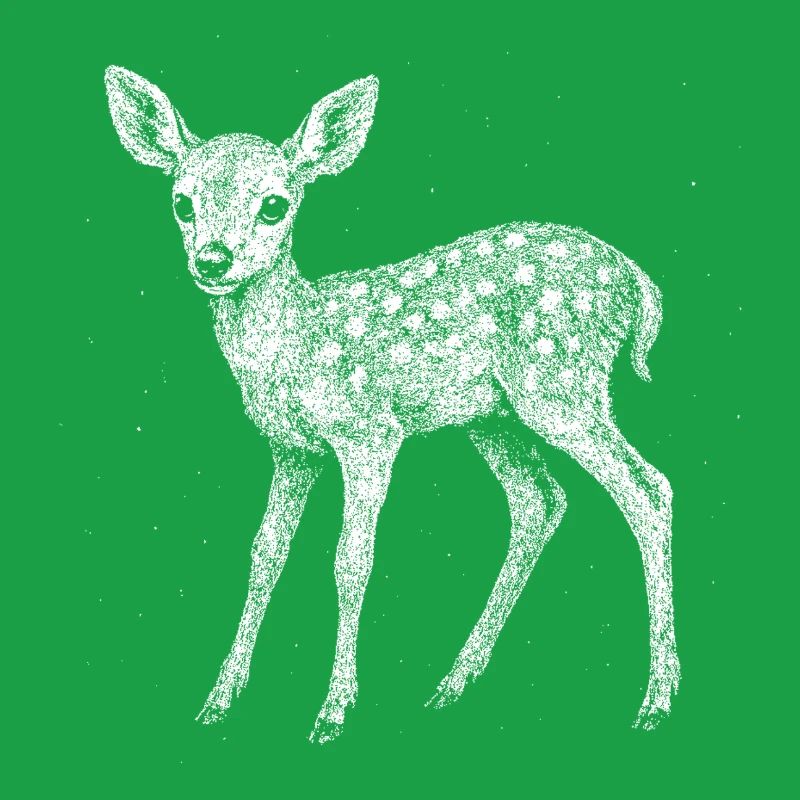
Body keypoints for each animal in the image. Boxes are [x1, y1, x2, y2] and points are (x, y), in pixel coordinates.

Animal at [104, 66, 680, 743]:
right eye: (182, 201)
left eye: (275, 204)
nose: (213, 260)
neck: (295, 345)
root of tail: (641, 286)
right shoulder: (292, 449)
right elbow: (265, 552)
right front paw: (220, 697)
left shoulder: (369, 432)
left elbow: (351, 559)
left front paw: (333, 708)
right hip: (494, 415)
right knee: (540, 501)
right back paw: (454, 681)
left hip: (561, 382)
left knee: (647, 488)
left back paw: (657, 698)